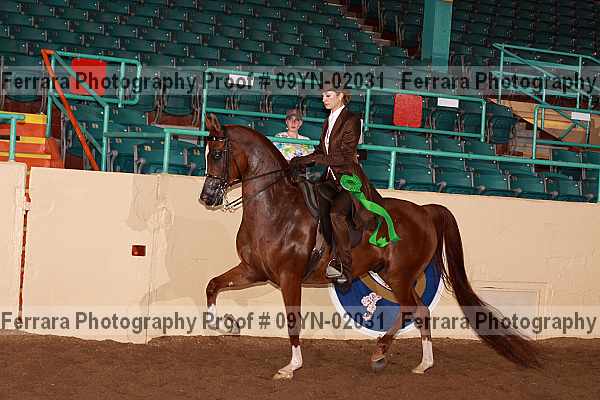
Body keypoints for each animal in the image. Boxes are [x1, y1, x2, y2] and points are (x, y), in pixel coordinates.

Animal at [198, 114, 539, 379]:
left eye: (216, 155)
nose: (207, 198)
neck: (277, 208)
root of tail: (425, 210)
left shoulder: (289, 277)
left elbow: (293, 320)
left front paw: (291, 366)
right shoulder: (253, 270)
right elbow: (212, 285)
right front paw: (225, 325)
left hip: (400, 275)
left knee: (410, 309)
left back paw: (381, 352)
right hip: (395, 275)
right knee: (420, 311)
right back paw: (422, 363)